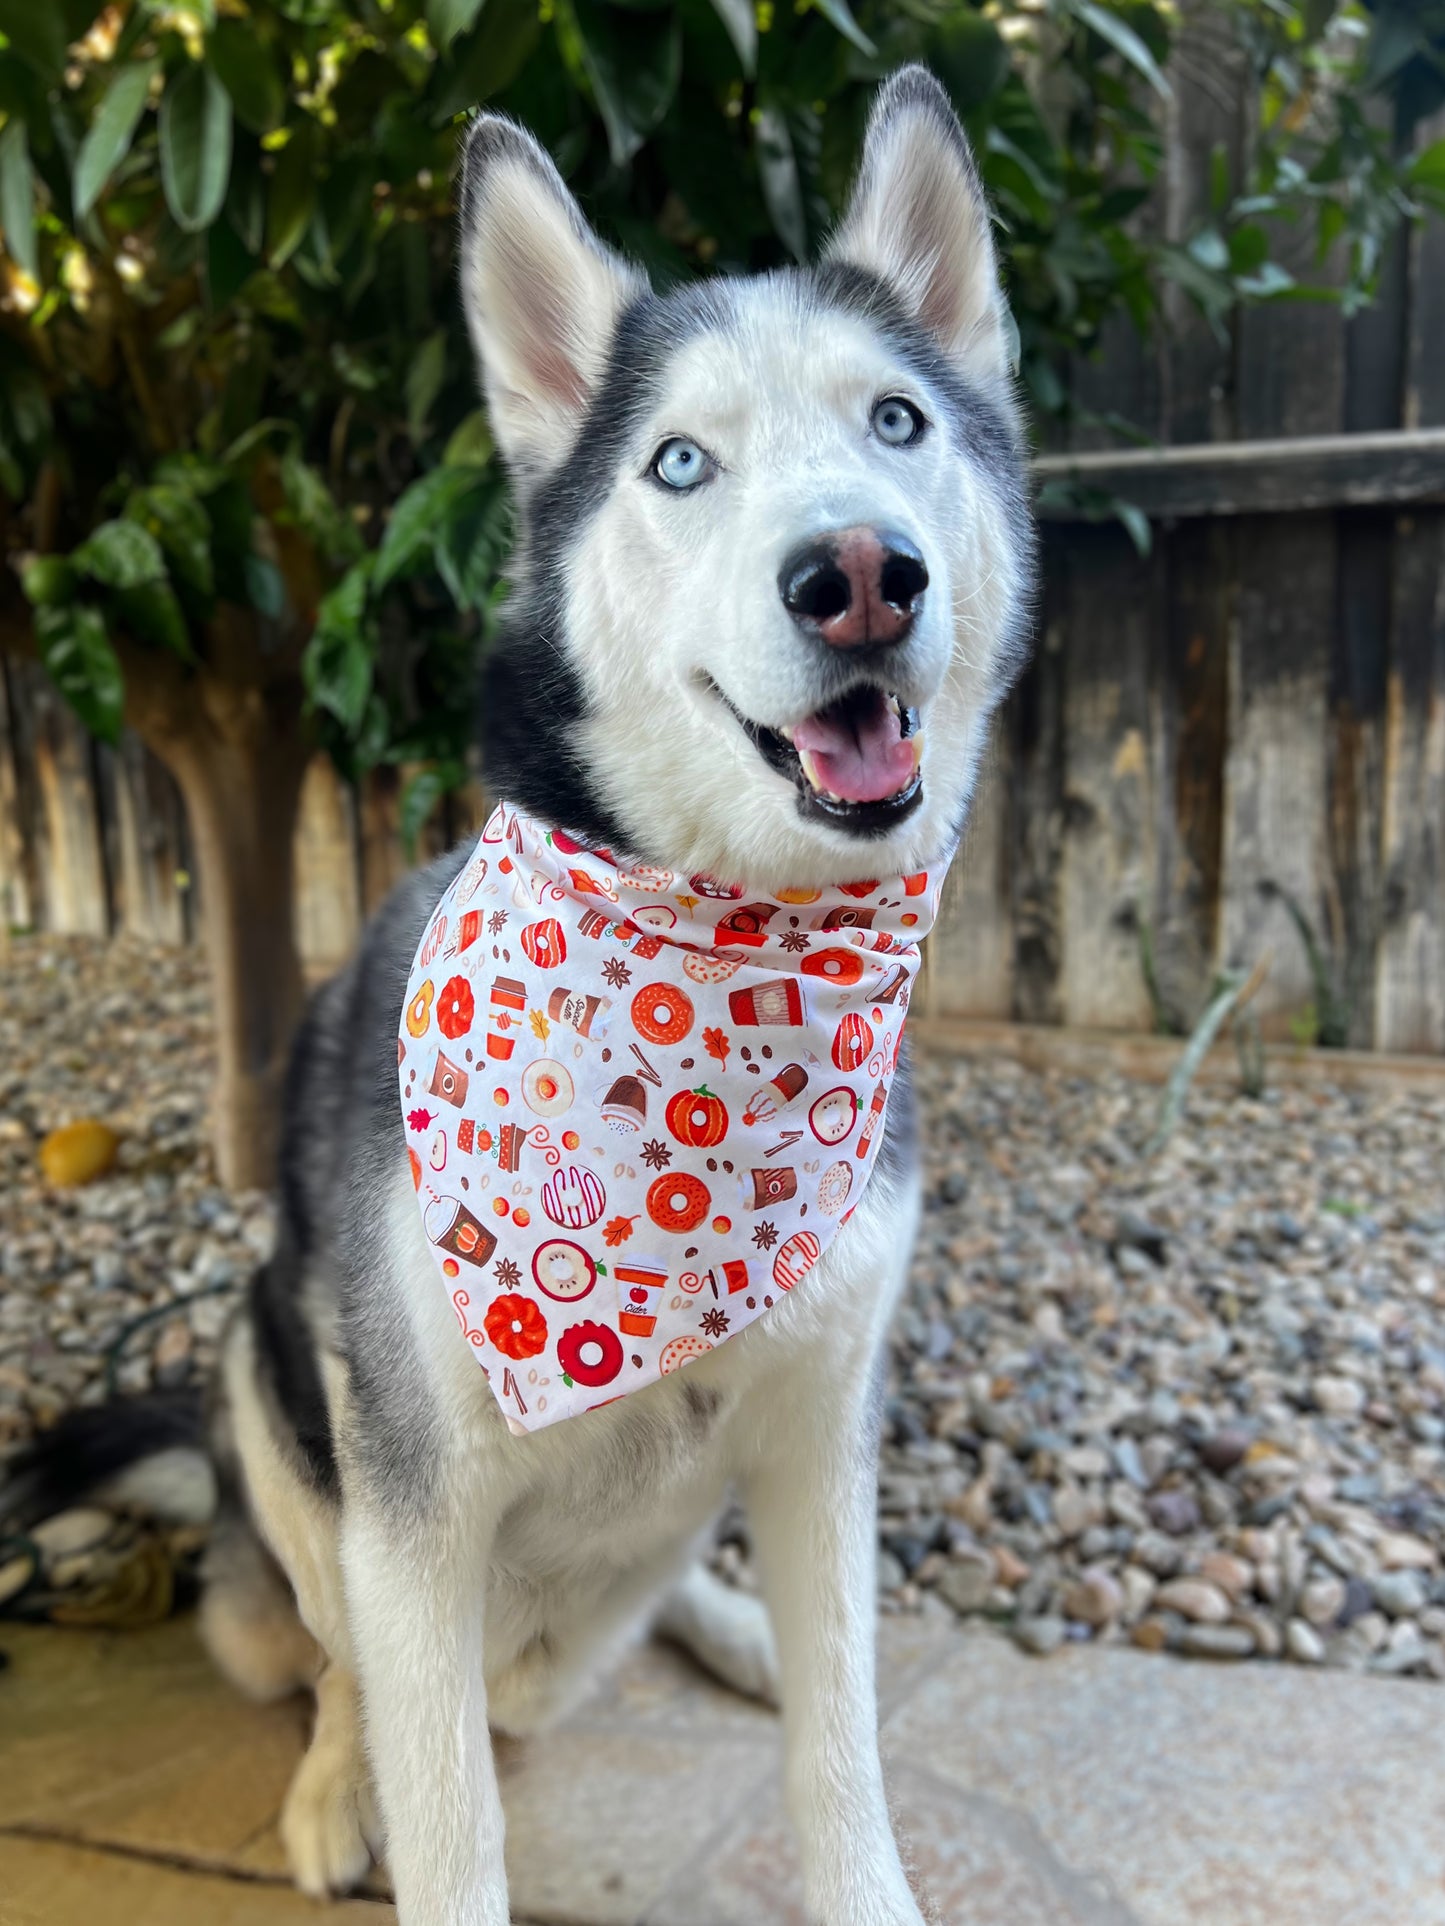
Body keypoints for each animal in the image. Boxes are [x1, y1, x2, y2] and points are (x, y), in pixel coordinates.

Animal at [14, 64, 1032, 1926]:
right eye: (681, 463)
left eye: (897, 424)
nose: (860, 569)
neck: (720, 979)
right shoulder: (416, 1506)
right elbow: (446, 1813)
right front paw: (380, 1802)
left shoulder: (821, 1424)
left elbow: (844, 1741)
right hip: (269, 1379)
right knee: (327, 1662)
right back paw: (330, 1782)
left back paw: (723, 1622)